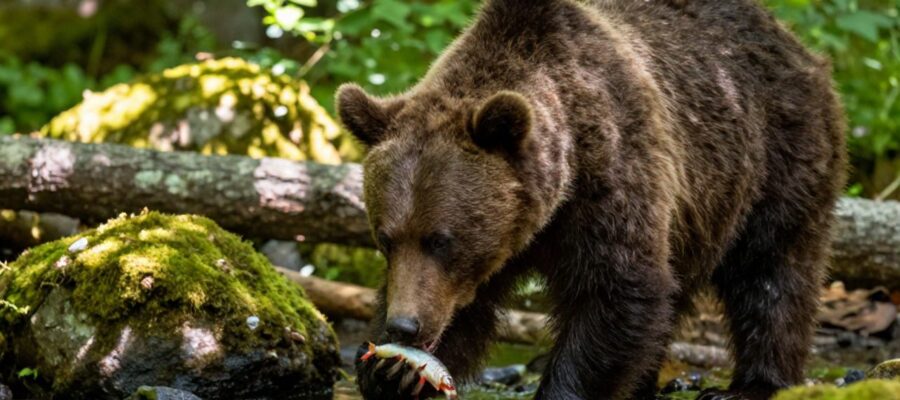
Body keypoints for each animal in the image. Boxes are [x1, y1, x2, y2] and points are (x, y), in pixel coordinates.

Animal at [336, 0, 846, 399]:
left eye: (442, 240)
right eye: (385, 238)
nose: (404, 326)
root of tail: (791, 40)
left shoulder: (611, 177)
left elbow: (619, 290)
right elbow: (463, 308)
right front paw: (394, 370)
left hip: (777, 155)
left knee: (772, 270)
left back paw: (751, 384)